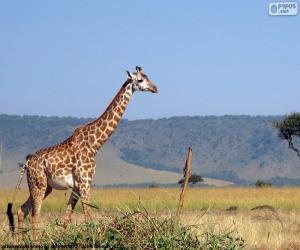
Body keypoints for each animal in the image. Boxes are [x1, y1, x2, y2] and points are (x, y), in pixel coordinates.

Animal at [16, 66, 158, 229]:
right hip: (38, 184)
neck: (95, 144)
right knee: (35, 216)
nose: (155, 88)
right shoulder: (85, 181)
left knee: (22, 210)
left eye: (148, 77)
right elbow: (88, 217)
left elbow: (67, 219)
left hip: (45, 186)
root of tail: (27, 163)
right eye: (140, 80)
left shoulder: (77, 186)